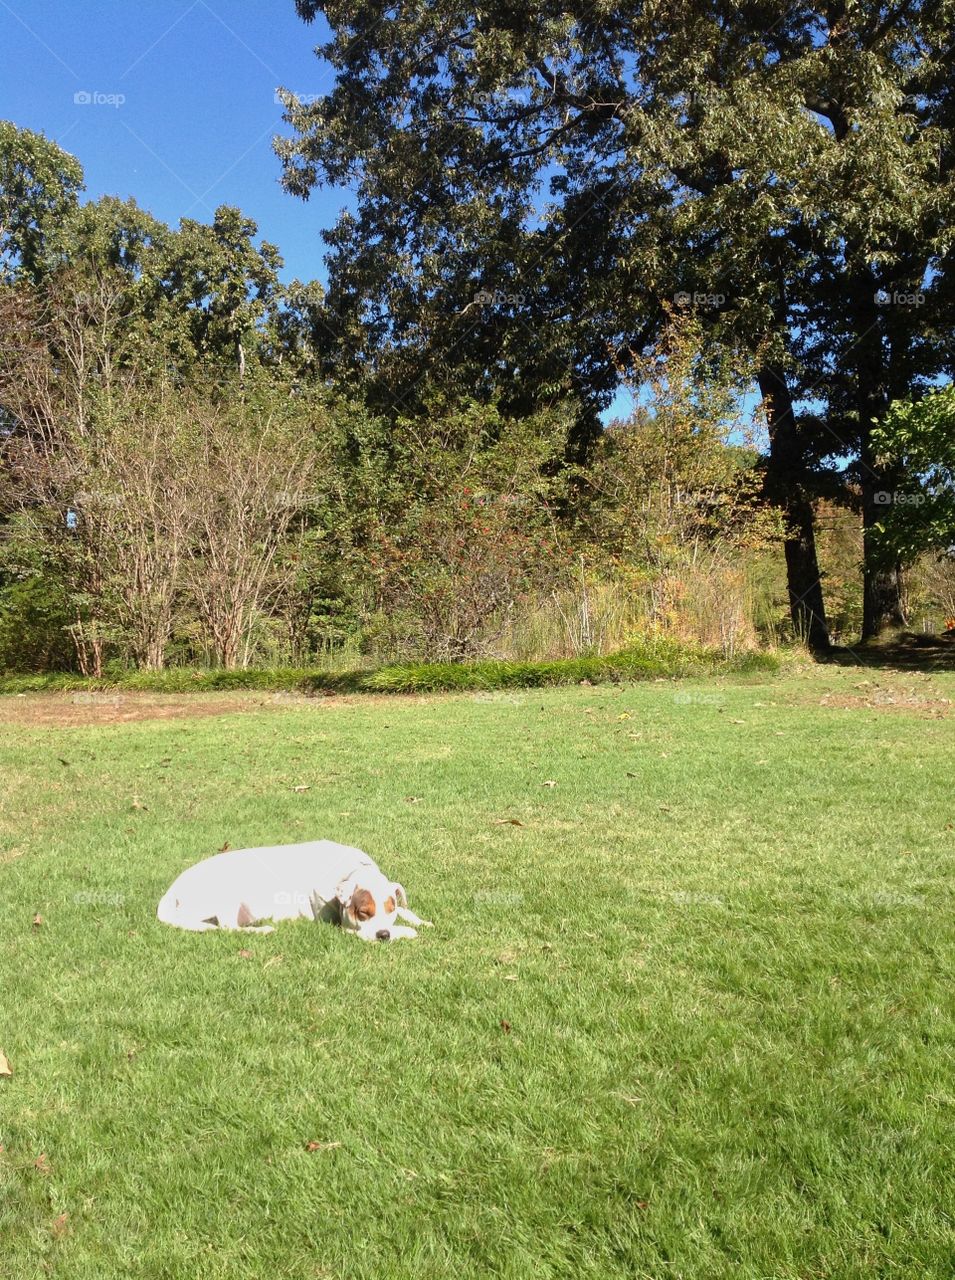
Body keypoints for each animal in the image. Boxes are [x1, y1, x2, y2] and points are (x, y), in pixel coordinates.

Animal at [154, 839, 430, 942]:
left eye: (389, 909)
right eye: (363, 912)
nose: (384, 934)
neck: (348, 871)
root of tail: (172, 890)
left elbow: (406, 911)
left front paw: (419, 920)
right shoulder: (339, 926)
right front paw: (406, 930)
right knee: (227, 926)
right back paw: (261, 929)